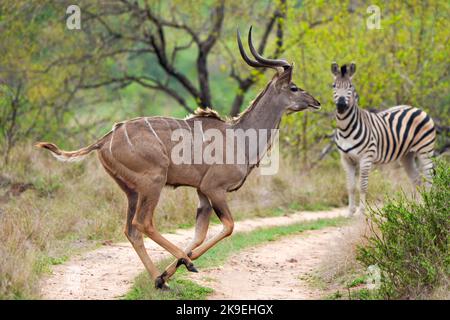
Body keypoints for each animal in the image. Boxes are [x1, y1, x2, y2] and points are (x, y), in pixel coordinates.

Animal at [330, 61, 436, 216]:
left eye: (350, 86)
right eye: (334, 86)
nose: (341, 105)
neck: (345, 129)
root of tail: (417, 108)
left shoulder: (366, 158)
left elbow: (362, 185)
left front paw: (361, 212)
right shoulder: (346, 159)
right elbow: (350, 186)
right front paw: (350, 212)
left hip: (425, 150)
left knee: (429, 177)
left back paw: (431, 207)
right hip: (407, 155)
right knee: (416, 179)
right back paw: (419, 207)